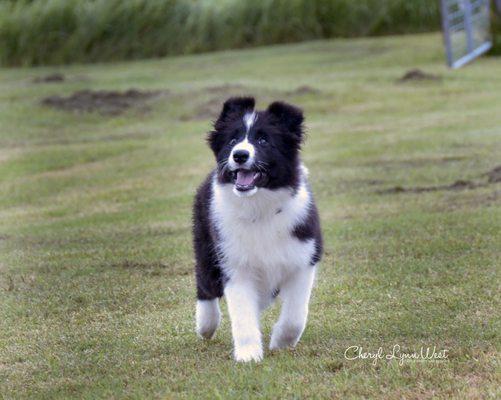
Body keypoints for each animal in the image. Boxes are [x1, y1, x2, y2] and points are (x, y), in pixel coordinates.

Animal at [193, 97, 322, 362]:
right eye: (232, 140)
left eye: (264, 140)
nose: (240, 155)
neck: (259, 208)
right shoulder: (234, 265)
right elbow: (242, 315)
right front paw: (248, 355)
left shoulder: (303, 259)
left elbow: (295, 316)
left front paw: (281, 342)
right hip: (206, 246)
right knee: (205, 284)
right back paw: (206, 325)